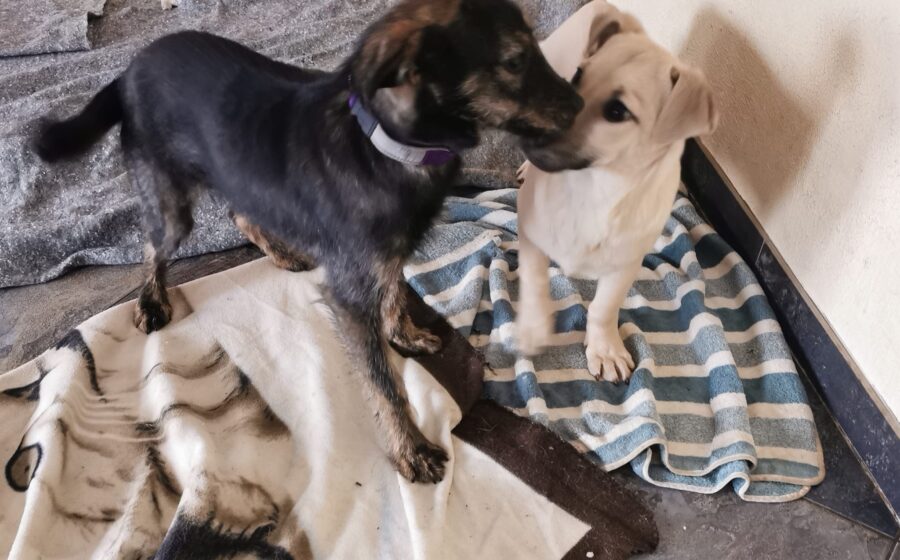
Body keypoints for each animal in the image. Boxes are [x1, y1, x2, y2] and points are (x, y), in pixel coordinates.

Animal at [32, 0, 582, 483]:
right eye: (515, 61)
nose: (581, 104)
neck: (385, 145)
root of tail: (128, 72)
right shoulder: (349, 295)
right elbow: (383, 383)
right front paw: (410, 449)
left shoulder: (382, 257)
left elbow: (393, 291)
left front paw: (403, 332)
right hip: (169, 201)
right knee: (154, 245)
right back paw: (151, 299)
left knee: (240, 212)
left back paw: (281, 253)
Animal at [514, 0, 718, 383]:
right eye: (577, 77)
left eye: (617, 111)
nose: (529, 130)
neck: (596, 186)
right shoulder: (530, 231)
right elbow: (534, 280)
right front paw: (532, 328)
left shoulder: (625, 262)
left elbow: (603, 307)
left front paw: (605, 348)